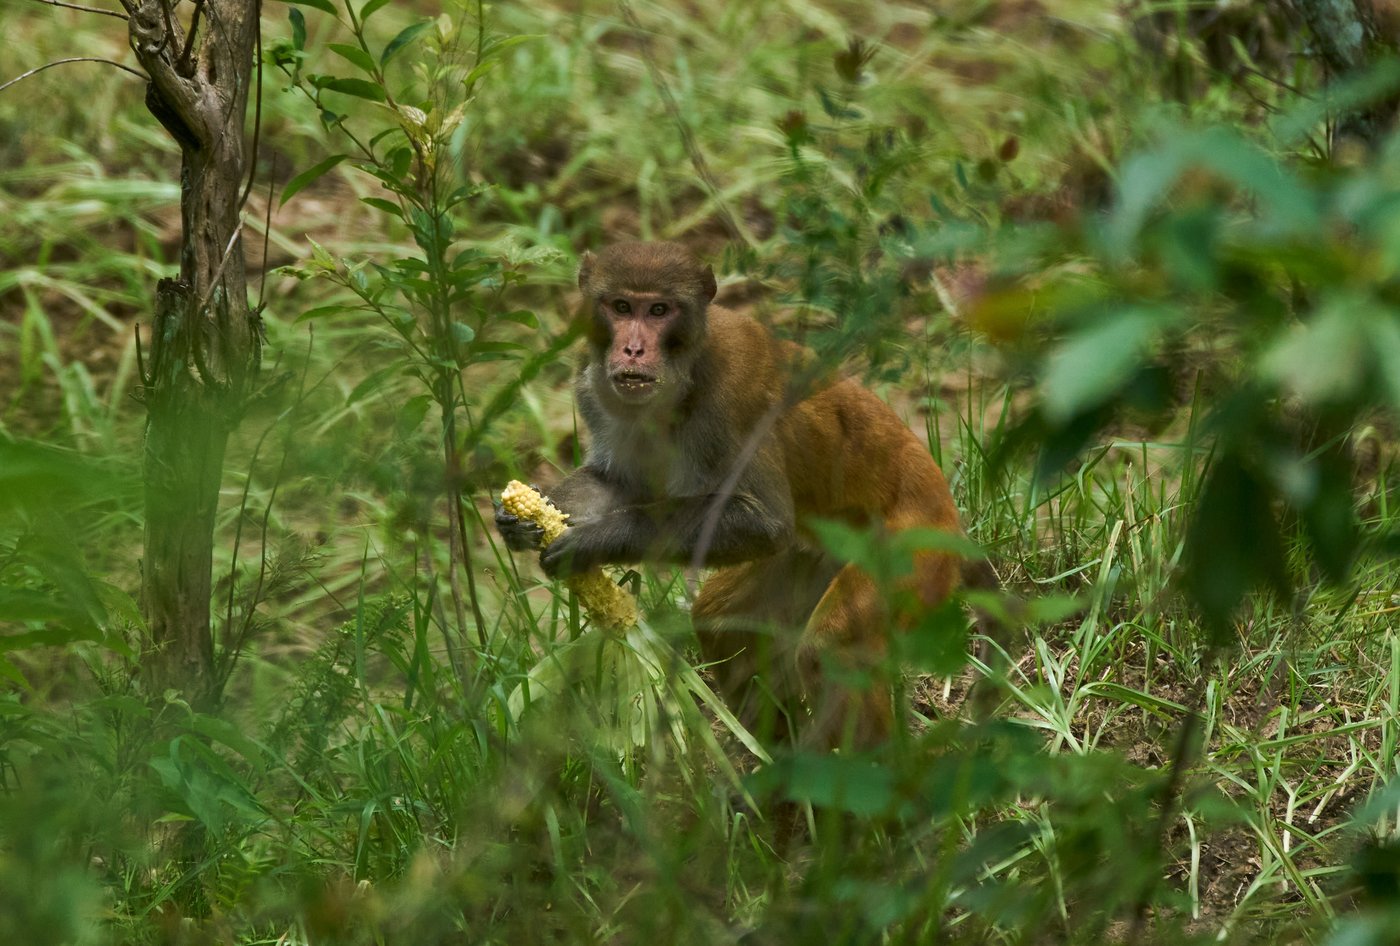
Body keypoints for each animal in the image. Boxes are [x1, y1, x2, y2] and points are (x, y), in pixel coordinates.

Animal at [495, 241, 969, 750]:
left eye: (659, 310)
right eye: (621, 306)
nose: (633, 348)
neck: (684, 371)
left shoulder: (732, 399)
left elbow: (764, 522)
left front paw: (592, 542)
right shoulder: (593, 389)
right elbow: (619, 482)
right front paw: (524, 518)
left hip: (915, 550)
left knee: (830, 651)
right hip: (818, 556)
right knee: (724, 619)